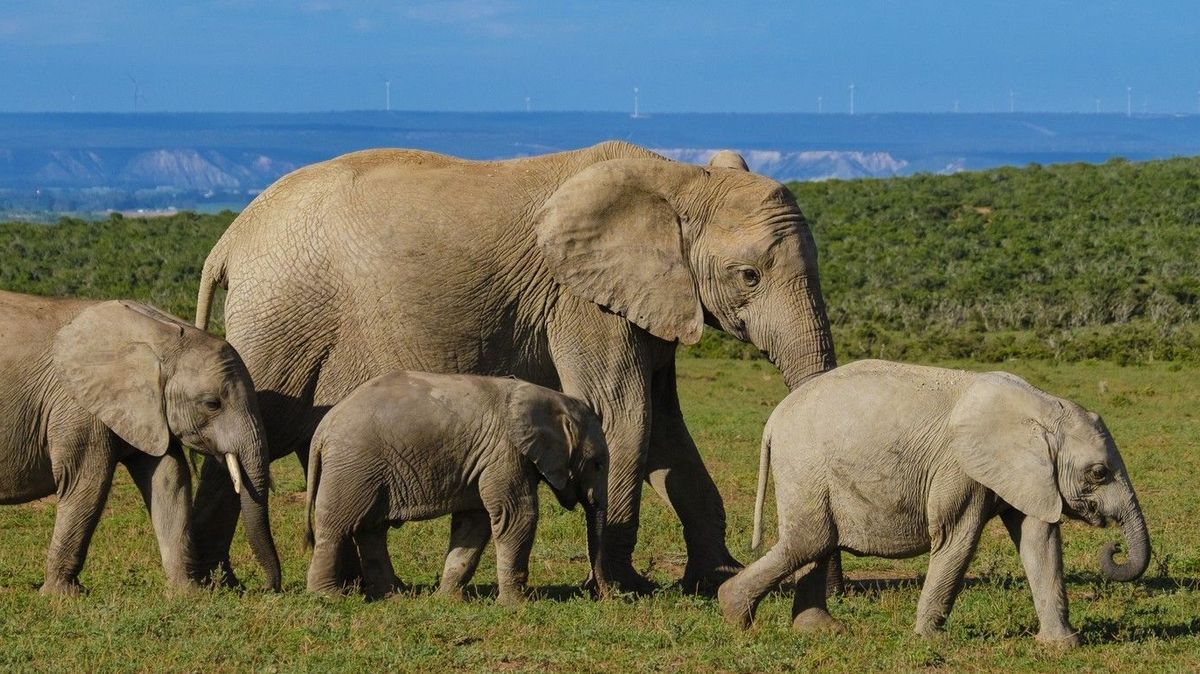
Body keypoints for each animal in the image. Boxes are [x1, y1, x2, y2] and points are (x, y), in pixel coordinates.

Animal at [0, 290, 279, 592]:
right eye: (212, 404)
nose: (264, 588)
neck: (160, 334)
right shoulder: (77, 406)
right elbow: (86, 483)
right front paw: (63, 595)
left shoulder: (148, 410)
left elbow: (170, 480)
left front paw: (187, 593)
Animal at [304, 369, 609, 599]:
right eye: (597, 464)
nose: (602, 594)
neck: (548, 396)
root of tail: (324, 426)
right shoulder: (504, 451)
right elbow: (515, 516)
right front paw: (517, 604)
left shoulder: (486, 458)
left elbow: (474, 523)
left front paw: (447, 599)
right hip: (353, 466)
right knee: (338, 526)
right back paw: (329, 596)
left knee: (370, 529)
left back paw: (393, 595)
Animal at [715, 359, 1147, 642]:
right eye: (1099, 473)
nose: (1113, 546)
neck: (1040, 407)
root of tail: (773, 420)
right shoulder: (960, 470)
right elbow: (957, 540)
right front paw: (930, 641)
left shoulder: (1030, 475)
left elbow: (1039, 541)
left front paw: (1062, 646)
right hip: (804, 464)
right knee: (810, 540)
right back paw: (734, 616)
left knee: (817, 543)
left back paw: (821, 630)